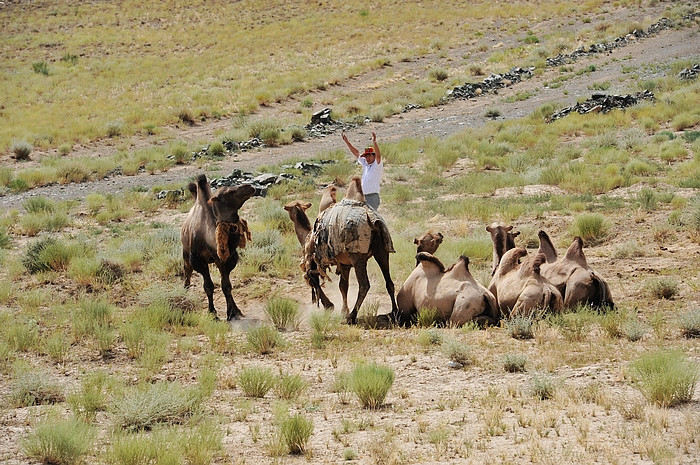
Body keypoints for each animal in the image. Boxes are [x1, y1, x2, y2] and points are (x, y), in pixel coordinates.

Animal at [182, 173, 256, 320]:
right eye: (229, 192)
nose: (249, 186)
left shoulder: (225, 258)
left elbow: (226, 286)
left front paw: (232, 313)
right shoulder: (198, 260)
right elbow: (208, 286)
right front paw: (212, 312)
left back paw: (237, 309)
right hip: (185, 253)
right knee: (187, 271)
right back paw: (184, 293)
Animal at [304, 176, 396, 324]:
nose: (315, 302)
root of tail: (374, 222)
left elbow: (323, 277)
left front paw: (334, 307)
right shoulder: (344, 264)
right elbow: (343, 285)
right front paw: (342, 310)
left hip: (357, 256)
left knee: (364, 285)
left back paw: (351, 316)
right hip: (382, 251)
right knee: (389, 282)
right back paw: (394, 312)